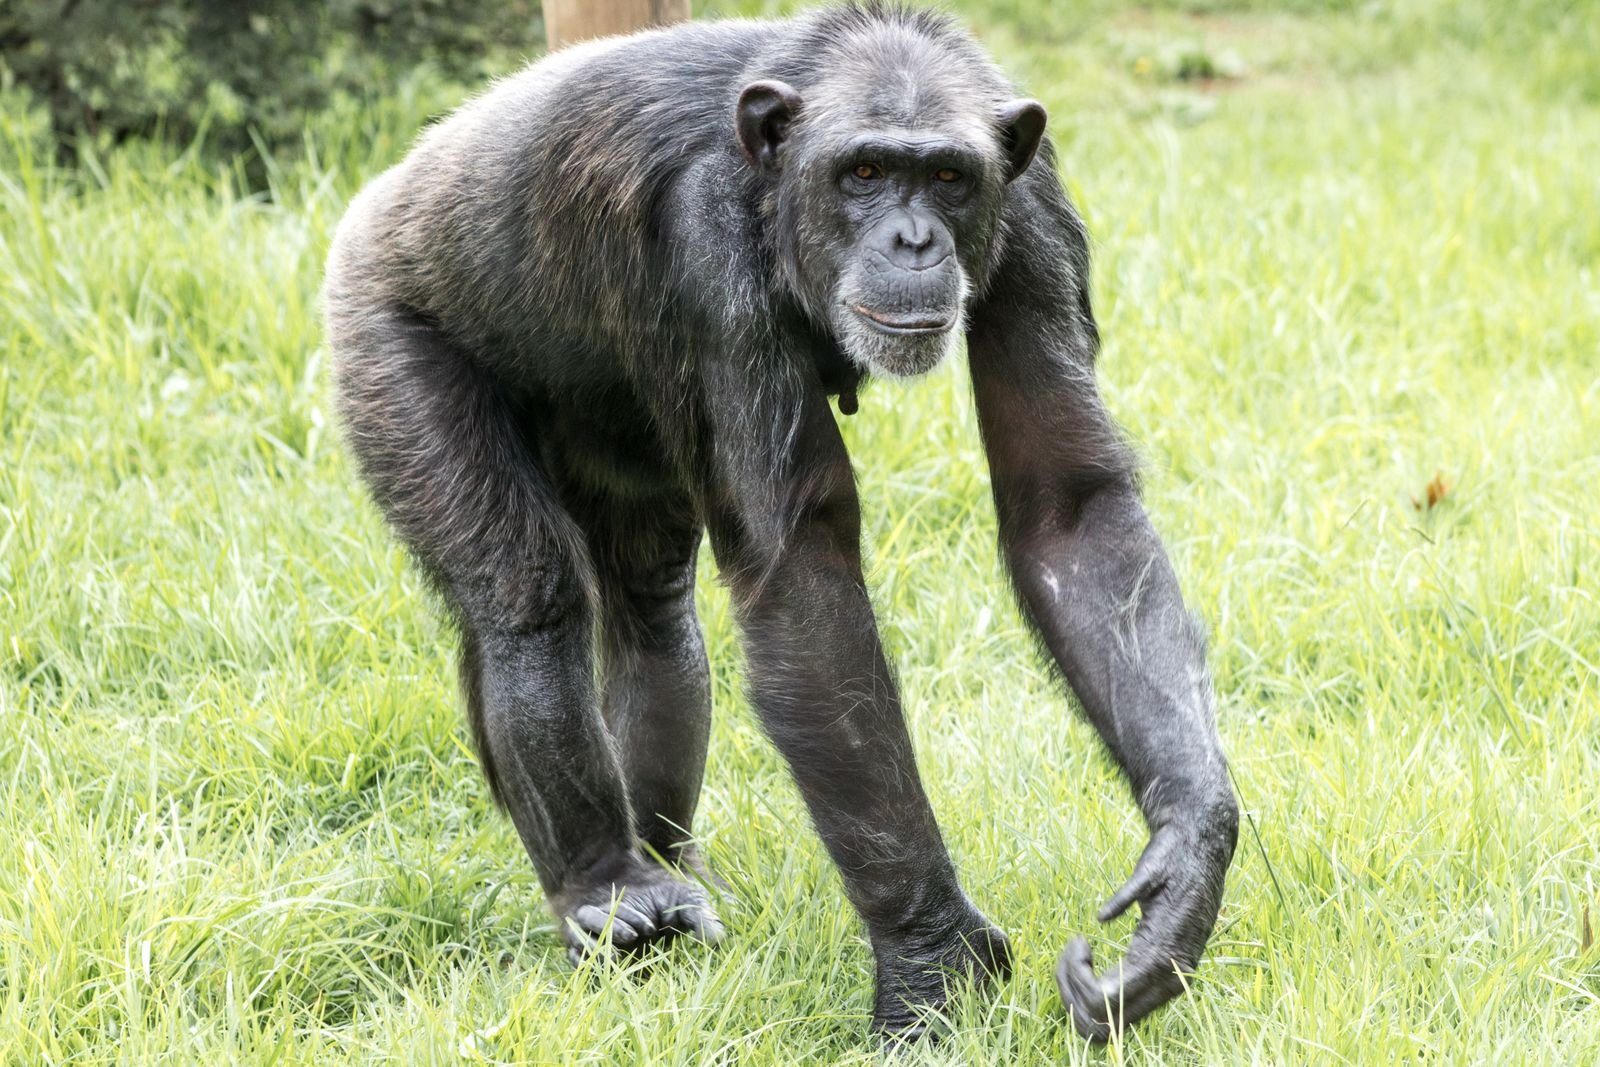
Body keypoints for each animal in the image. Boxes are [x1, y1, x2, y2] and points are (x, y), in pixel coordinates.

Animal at [322, 1, 1238, 1043]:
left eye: (949, 178)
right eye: (865, 172)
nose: (915, 240)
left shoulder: (1035, 214)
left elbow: (1068, 506)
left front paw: (1183, 871)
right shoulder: (704, 244)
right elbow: (803, 575)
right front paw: (932, 961)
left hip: (612, 428)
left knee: (651, 612)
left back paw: (664, 867)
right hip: (384, 337)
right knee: (526, 598)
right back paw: (604, 887)